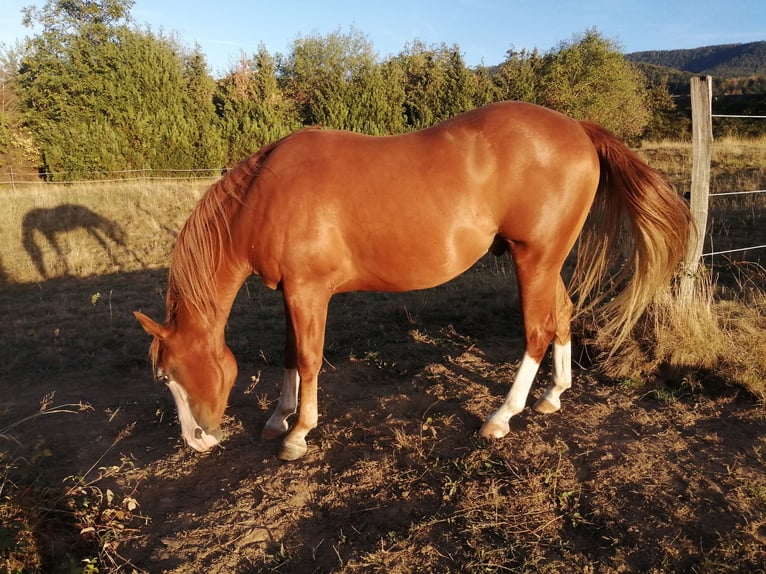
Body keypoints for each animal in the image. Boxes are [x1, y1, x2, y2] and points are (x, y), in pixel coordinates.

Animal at [135, 101, 693, 461]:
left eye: (169, 376)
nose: (197, 441)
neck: (265, 193)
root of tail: (576, 128)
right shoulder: (292, 294)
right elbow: (291, 353)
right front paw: (279, 418)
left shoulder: (308, 292)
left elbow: (310, 359)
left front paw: (299, 433)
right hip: (544, 262)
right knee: (562, 315)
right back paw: (554, 395)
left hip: (534, 260)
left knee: (536, 331)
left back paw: (502, 417)